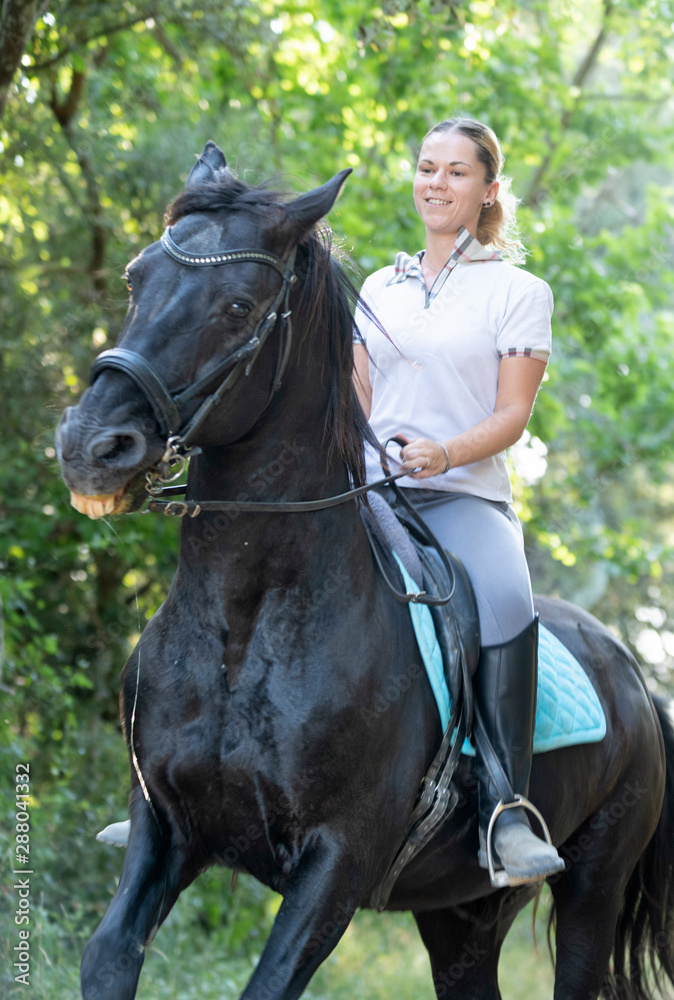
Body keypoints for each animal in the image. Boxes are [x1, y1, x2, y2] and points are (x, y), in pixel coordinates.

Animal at [56, 143, 672, 1000]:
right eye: (135, 277)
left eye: (239, 307)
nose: (90, 445)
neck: (245, 622)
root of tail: (635, 678)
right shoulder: (163, 824)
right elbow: (109, 953)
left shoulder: (338, 861)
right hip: (461, 914)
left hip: (590, 889)